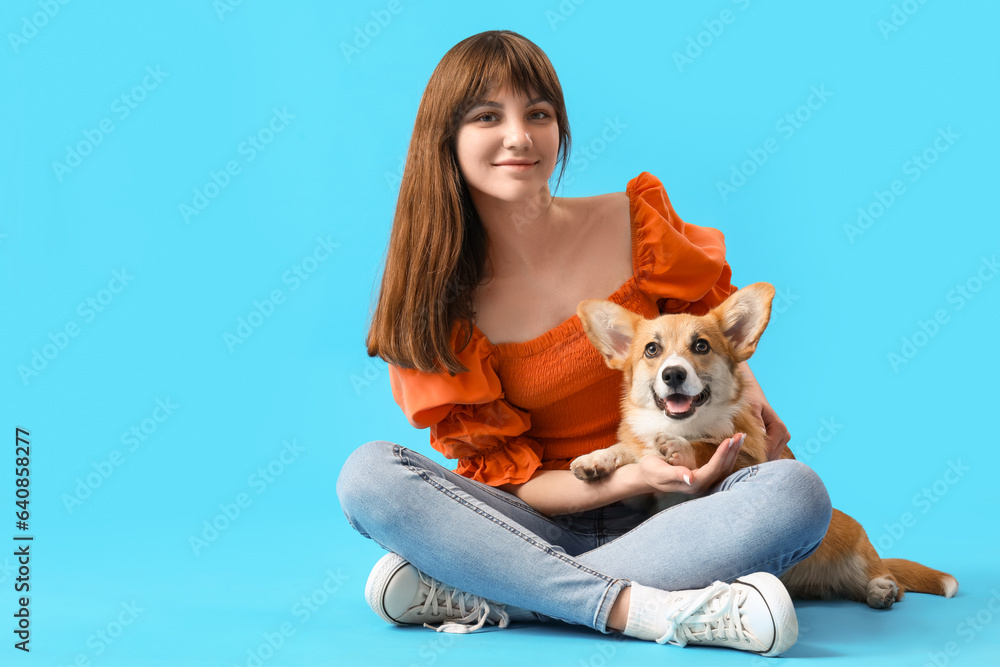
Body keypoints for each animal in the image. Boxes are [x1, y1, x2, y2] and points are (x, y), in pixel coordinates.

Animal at [572, 284, 952, 608]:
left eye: (701, 346)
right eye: (652, 350)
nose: (673, 374)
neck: (683, 425)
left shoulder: (745, 456)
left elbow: (708, 447)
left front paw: (681, 449)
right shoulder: (642, 494)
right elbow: (629, 454)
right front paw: (596, 459)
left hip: (857, 549)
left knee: (890, 583)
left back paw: (880, 589)